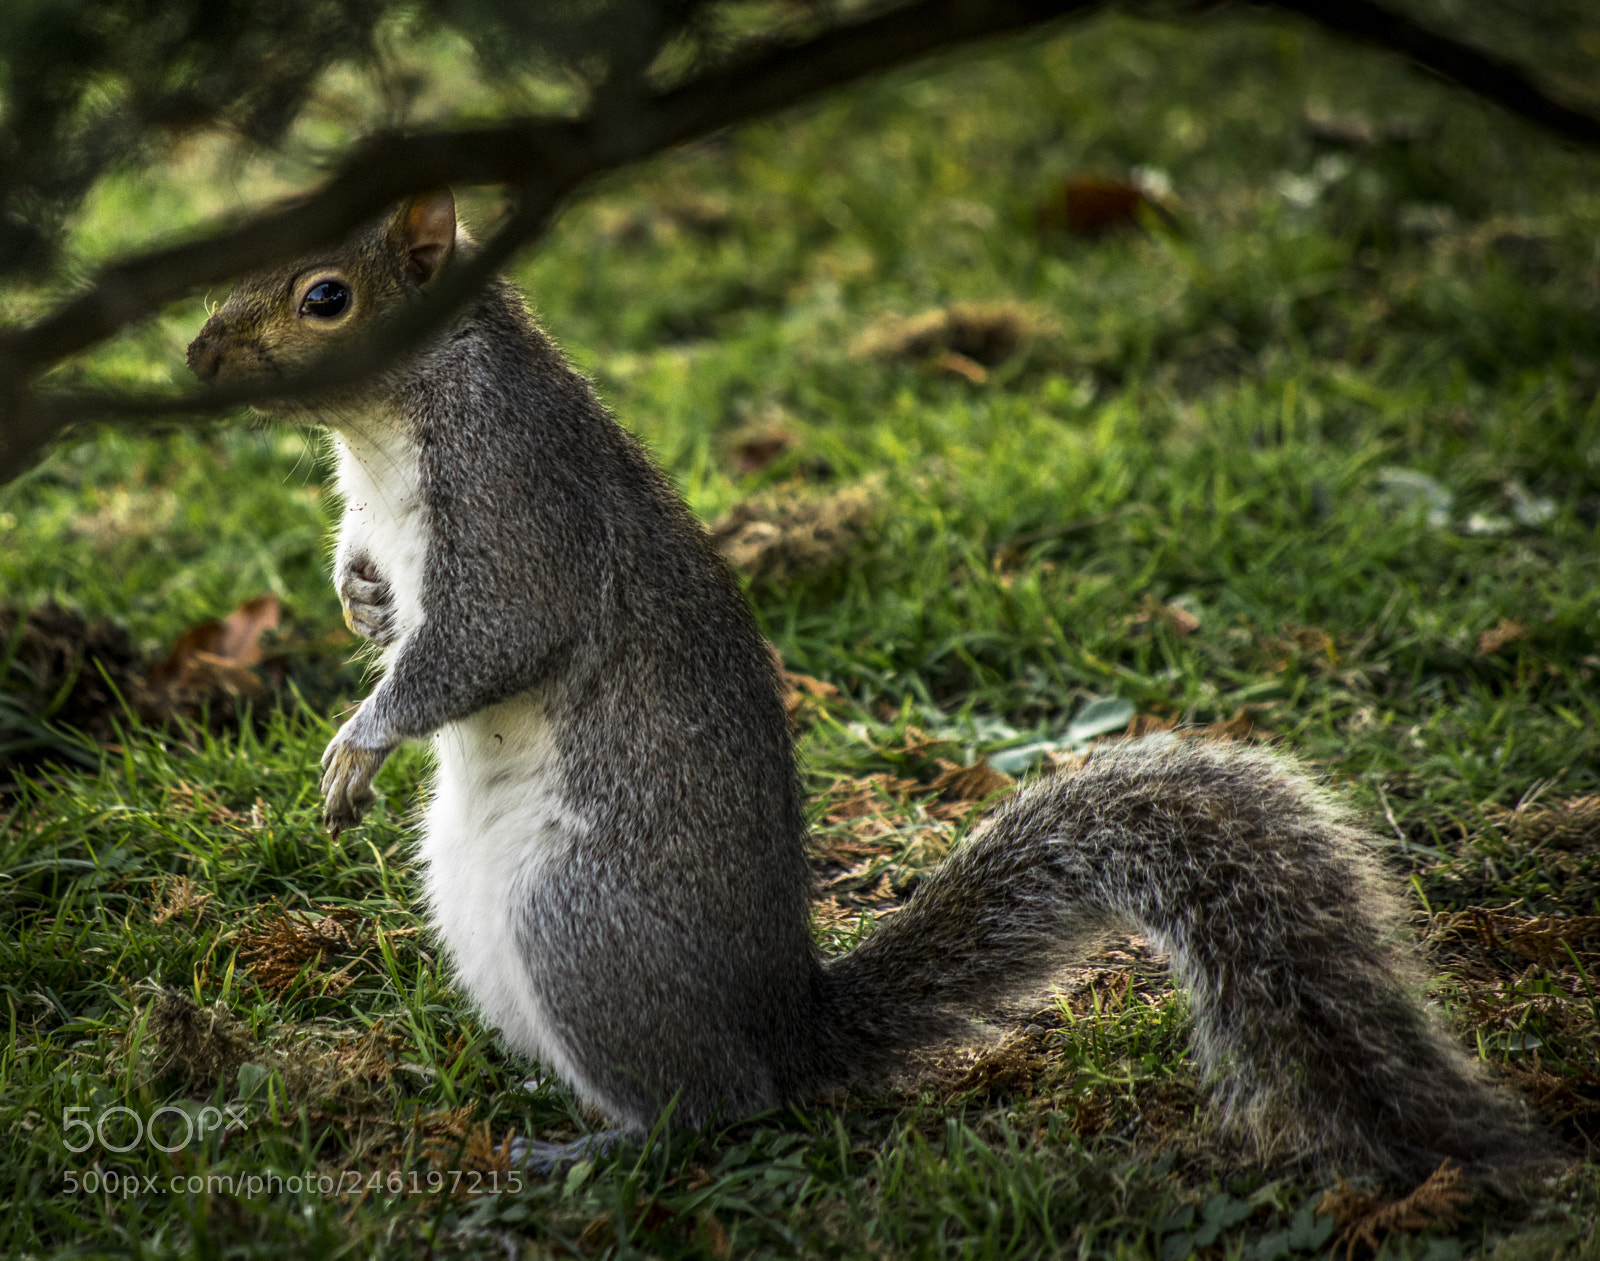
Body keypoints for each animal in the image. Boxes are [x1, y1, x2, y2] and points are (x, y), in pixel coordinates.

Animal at [184, 189, 1548, 1184]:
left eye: (325, 296)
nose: (195, 354)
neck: (385, 427)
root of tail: (788, 1025)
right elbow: (374, 584)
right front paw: (361, 606)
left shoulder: (518, 503)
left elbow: (486, 643)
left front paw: (361, 737)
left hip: (580, 929)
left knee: (719, 1106)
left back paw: (590, 1146)